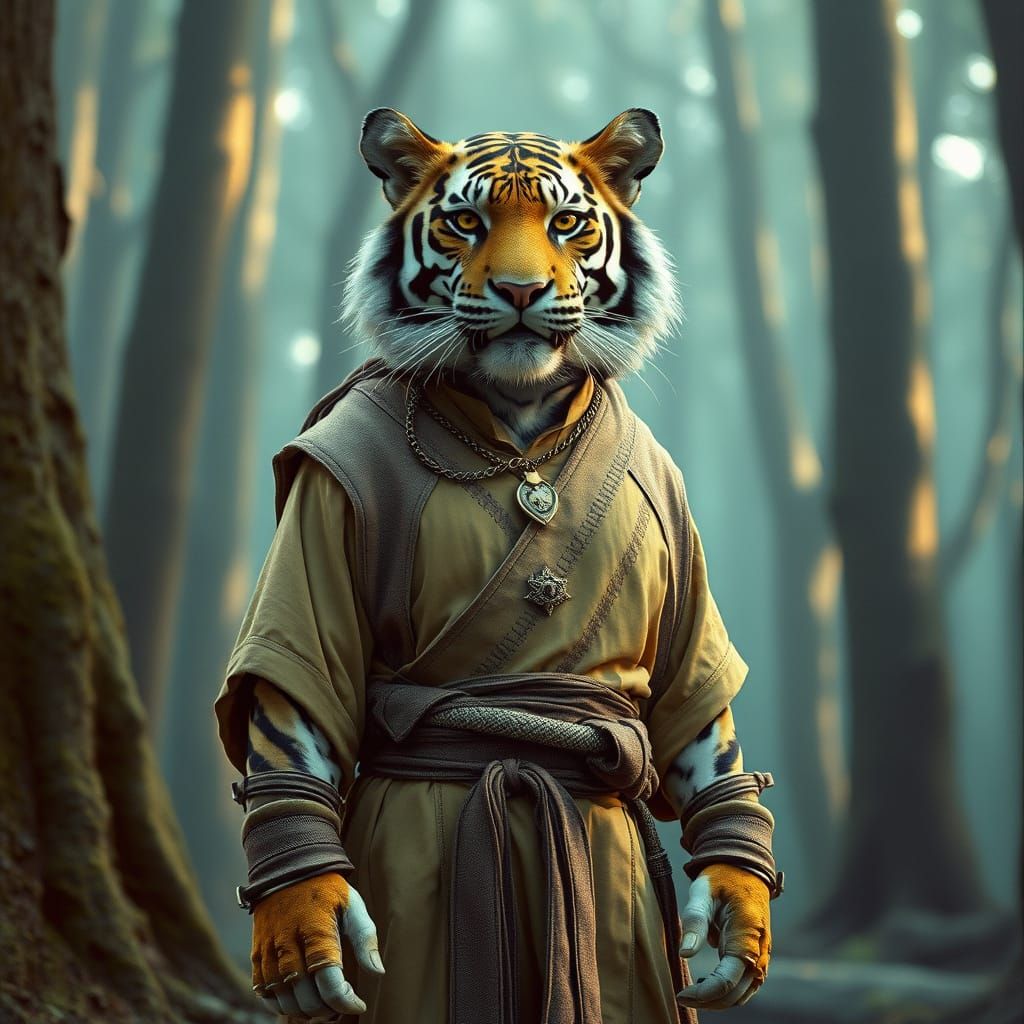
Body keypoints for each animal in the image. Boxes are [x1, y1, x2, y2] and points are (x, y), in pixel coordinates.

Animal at [239, 108, 768, 1021]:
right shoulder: (322, 496)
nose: (521, 291)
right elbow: (297, 706)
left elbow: (699, 724)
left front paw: (737, 900)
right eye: (465, 222)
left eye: (566, 223)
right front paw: (303, 921)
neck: (517, 417)